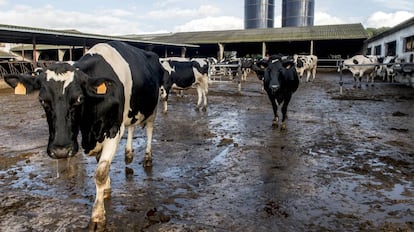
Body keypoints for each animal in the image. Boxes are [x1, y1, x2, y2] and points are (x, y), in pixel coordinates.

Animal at [4, 40, 165, 231]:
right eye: (42, 100)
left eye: (79, 99)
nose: (60, 150)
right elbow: (100, 164)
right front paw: (106, 190)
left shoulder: (114, 129)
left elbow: (100, 172)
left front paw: (97, 216)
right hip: (132, 111)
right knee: (132, 127)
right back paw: (128, 154)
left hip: (154, 106)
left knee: (149, 129)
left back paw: (147, 158)